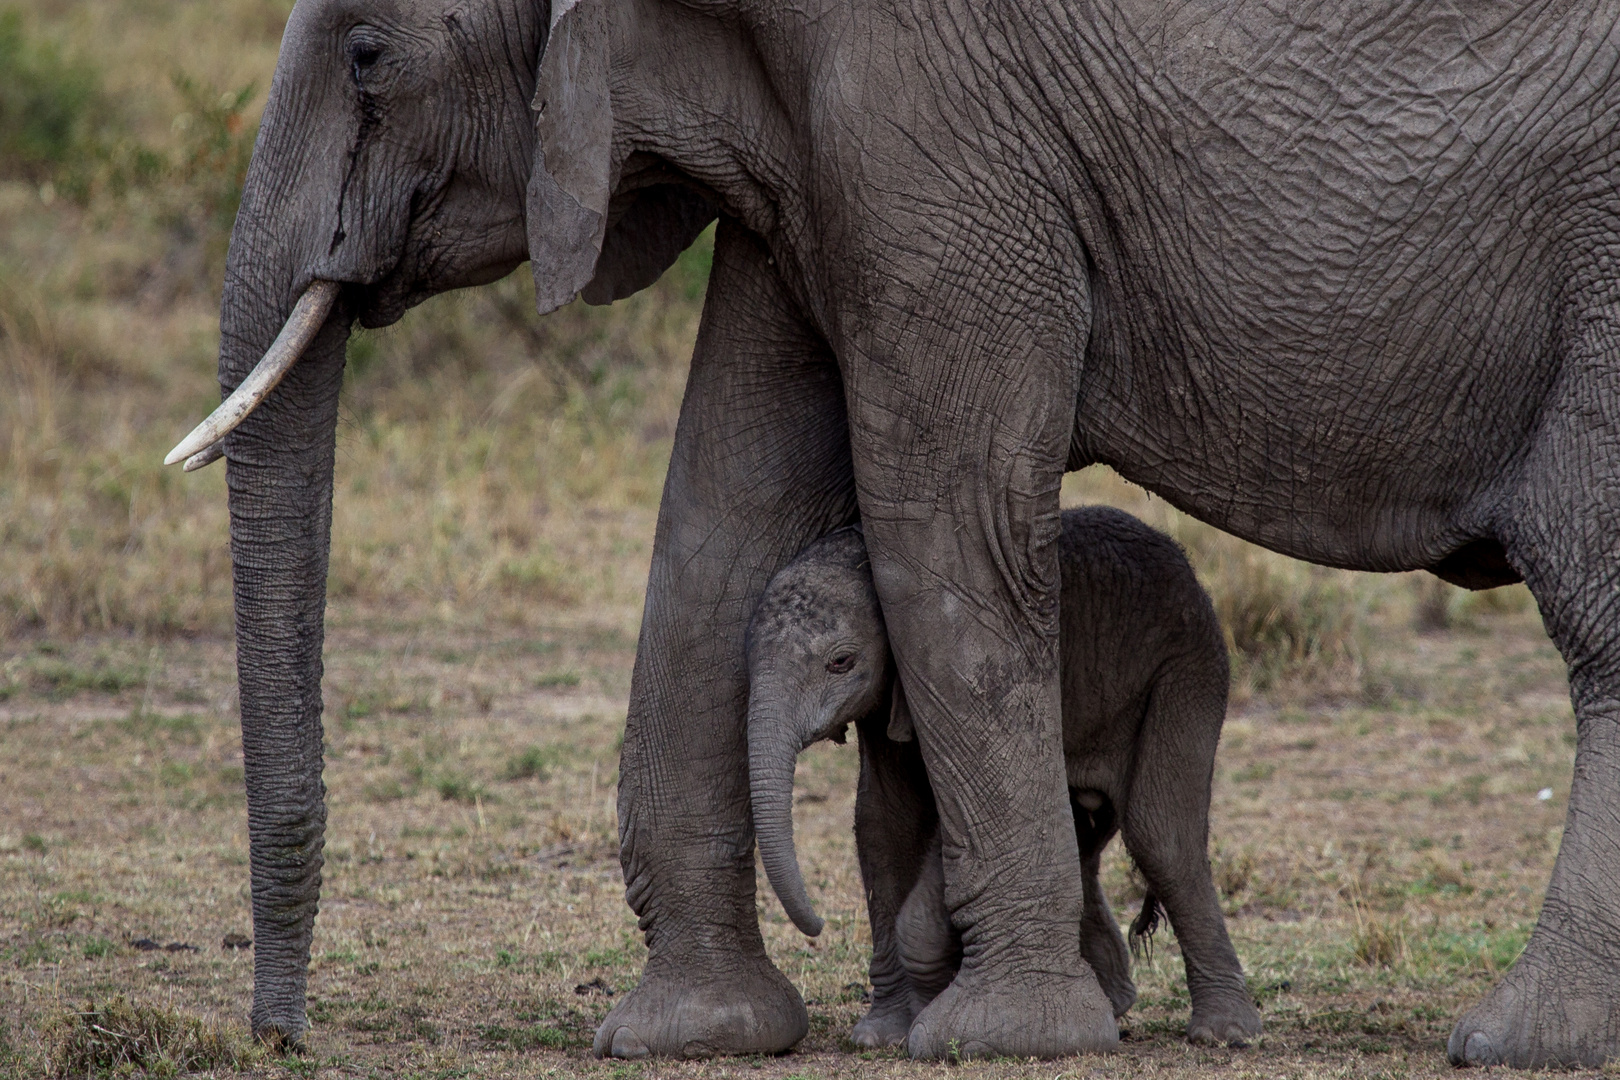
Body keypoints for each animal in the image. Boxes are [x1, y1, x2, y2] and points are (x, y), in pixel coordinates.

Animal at [745, 505, 1263, 1049]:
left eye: (841, 662)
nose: (818, 925)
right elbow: (883, 825)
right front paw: (881, 1036)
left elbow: (954, 824)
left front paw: (931, 1009)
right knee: (1085, 832)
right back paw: (1114, 999)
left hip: (1187, 663)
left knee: (1159, 832)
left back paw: (1224, 1033)